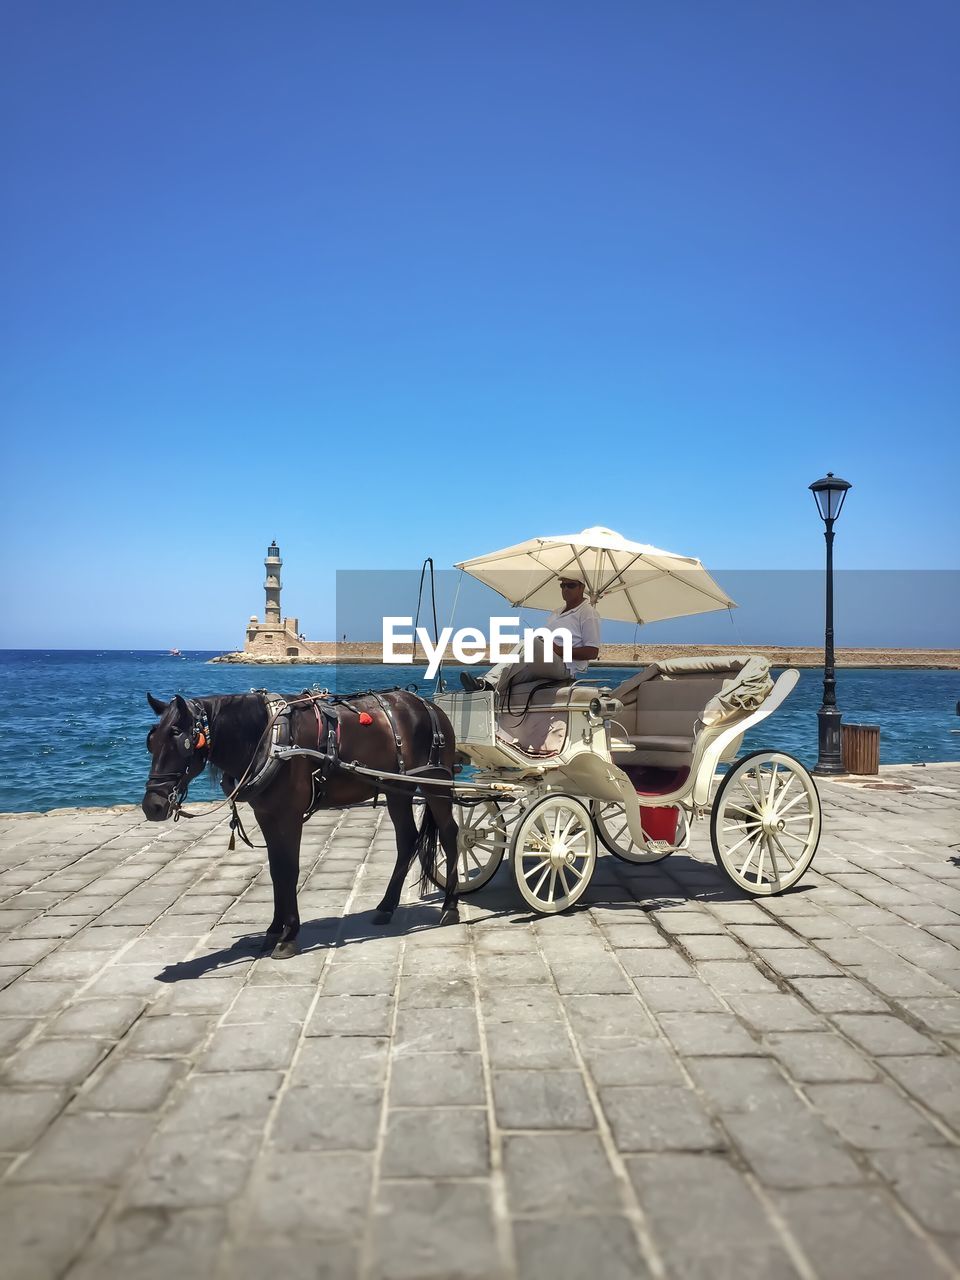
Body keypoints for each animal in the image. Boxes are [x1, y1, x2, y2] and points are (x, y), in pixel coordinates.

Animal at [138, 686, 463, 957]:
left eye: (181, 740)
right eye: (152, 741)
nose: (153, 805)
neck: (268, 738)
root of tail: (429, 705)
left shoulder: (289, 816)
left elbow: (290, 870)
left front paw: (289, 935)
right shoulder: (266, 815)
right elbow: (276, 871)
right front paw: (273, 930)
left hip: (435, 783)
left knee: (450, 833)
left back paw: (450, 906)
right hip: (397, 788)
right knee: (407, 839)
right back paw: (386, 907)